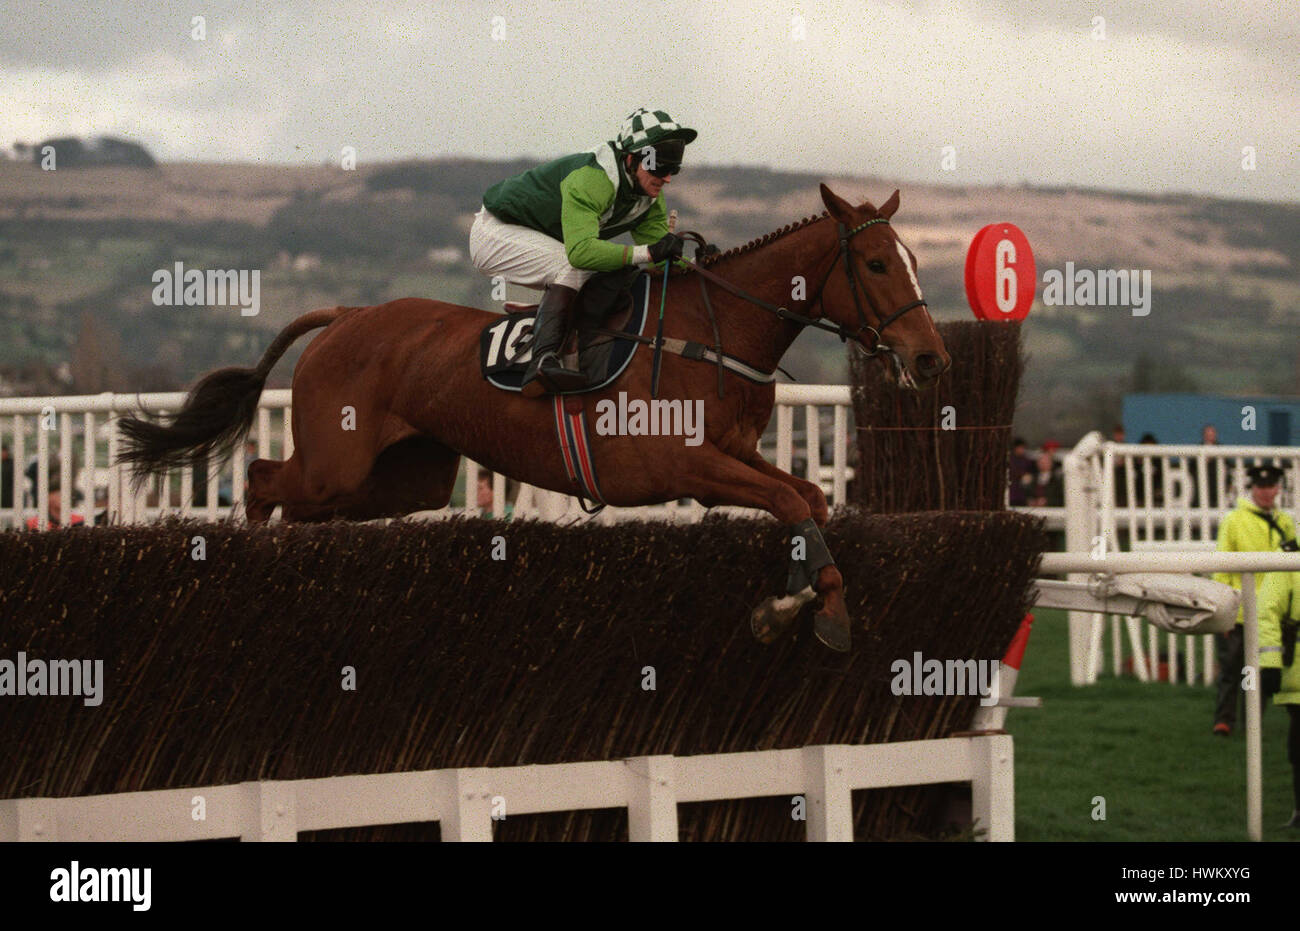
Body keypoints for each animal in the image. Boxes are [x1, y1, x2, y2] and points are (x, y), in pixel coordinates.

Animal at [116, 182, 951, 647]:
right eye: (877, 262)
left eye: (914, 260)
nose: (932, 357)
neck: (715, 329)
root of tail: (347, 313)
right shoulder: (683, 462)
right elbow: (789, 499)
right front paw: (804, 609)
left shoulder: (732, 452)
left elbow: (807, 498)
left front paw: (801, 601)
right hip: (334, 461)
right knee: (261, 478)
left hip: (403, 477)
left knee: (303, 504)